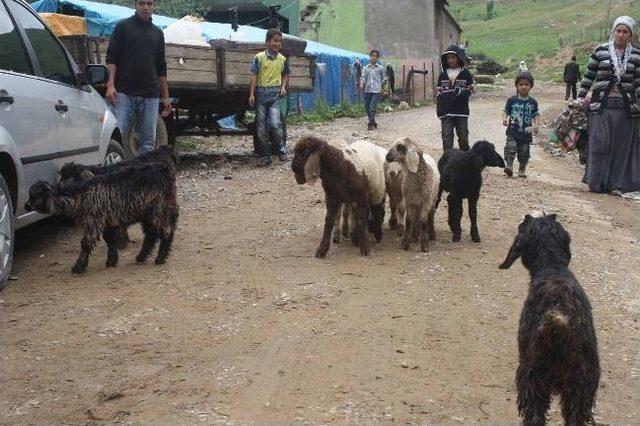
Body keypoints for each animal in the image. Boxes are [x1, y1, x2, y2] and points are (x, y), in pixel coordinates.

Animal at [25, 161, 179, 274]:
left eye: (34, 195)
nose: (26, 206)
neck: (80, 196)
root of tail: (164, 171)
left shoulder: (93, 220)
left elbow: (85, 243)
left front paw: (78, 267)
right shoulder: (106, 220)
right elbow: (109, 239)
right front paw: (111, 261)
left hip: (159, 208)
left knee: (166, 230)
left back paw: (160, 257)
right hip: (147, 212)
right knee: (151, 234)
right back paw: (141, 256)